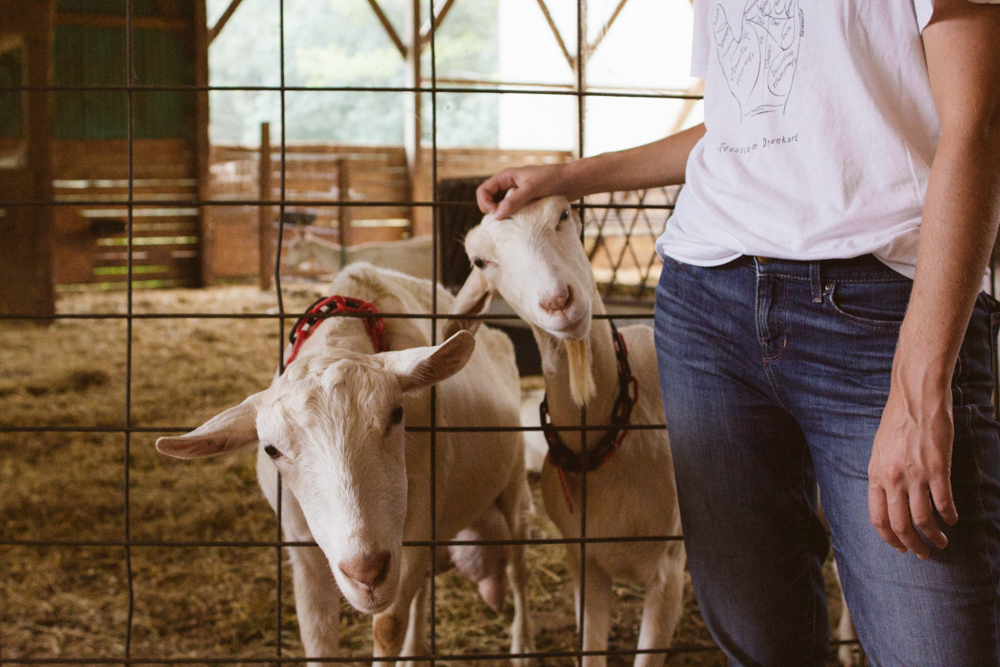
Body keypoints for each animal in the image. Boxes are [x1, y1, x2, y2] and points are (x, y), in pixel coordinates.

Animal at [156, 263, 534, 667]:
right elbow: (316, 634)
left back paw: (522, 647)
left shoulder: (417, 518)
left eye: (397, 413)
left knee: (518, 569)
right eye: (271, 449)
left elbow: (387, 626)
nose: (365, 572)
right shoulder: (301, 547)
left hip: (513, 488)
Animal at [444, 196, 685, 667]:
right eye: (480, 260)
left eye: (564, 214)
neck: (606, 441)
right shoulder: (585, 566)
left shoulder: (668, 570)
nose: (558, 301)